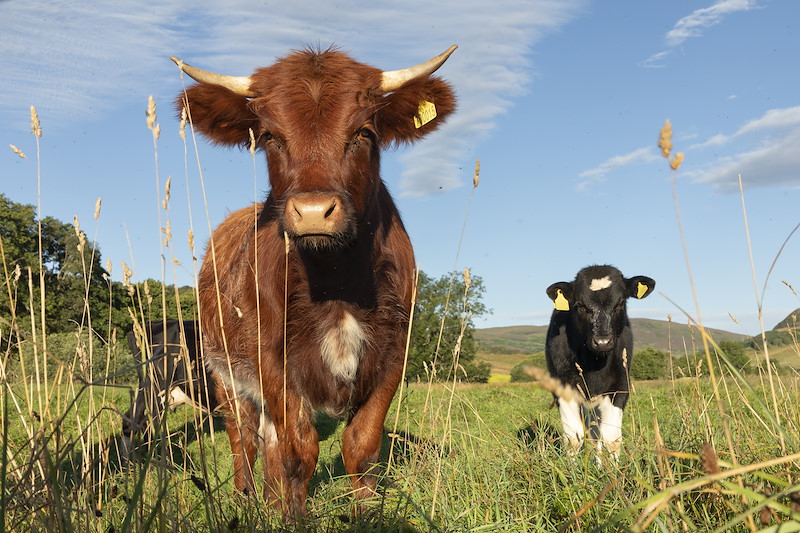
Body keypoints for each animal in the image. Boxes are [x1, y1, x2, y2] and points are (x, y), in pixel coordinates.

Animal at [171, 45, 457, 516]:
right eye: (270, 136)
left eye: (363, 132)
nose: (311, 212)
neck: (336, 283)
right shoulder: (272, 359)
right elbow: (298, 451)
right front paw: (294, 517)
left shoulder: (392, 356)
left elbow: (361, 446)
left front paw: (365, 515)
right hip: (223, 371)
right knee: (244, 437)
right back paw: (247, 500)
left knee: (266, 437)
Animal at [544, 265, 655, 459]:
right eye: (580, 305)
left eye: (620, 303)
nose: (602, 342)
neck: (594, 363)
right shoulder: (563, 387)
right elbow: (573, 438)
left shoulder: (619, 387)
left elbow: (611, 439)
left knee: (595, 432)